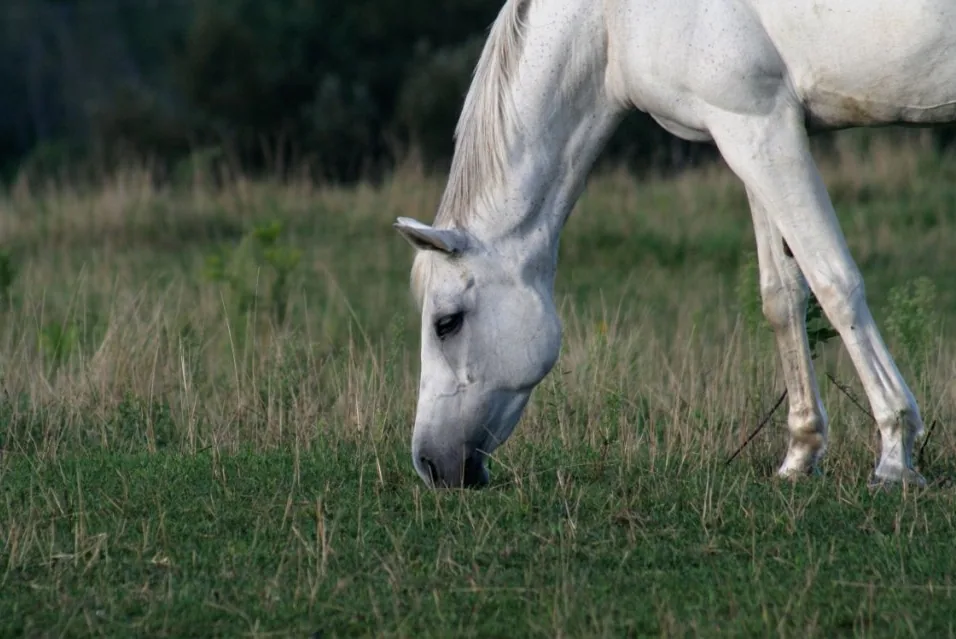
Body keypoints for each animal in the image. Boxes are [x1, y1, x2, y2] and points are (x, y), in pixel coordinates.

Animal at [394, 0, 956, 489]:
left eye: (447, 323)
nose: (429, 465)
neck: (611, 18)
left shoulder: (759, 126)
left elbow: (835, 282)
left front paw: (895, 455)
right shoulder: (752, 133)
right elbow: (781, 296)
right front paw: (801, 454)